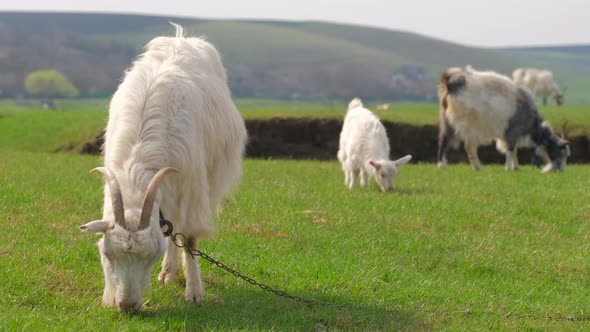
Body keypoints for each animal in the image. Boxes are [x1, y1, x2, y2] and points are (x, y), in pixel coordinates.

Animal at [80, 23, 246, 312]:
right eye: (106, 253)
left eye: (150, 256)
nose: (126, 305)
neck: (139, 158)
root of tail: (180, 38)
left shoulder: (191, 189)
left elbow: (189, 239)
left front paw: (194, 292)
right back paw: (169, 272)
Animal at [438, 66, 572, 172]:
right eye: (561, 152)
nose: (561, 171)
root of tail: (450, 84)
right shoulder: (512, 131)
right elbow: (510, 149)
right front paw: (508, 168)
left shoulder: (511, 133)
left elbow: (514, 150)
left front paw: (516, 167)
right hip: (471, 125)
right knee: (469, 146)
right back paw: (476, 167)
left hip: (447, 120)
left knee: (444, 140)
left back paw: (442, 165)